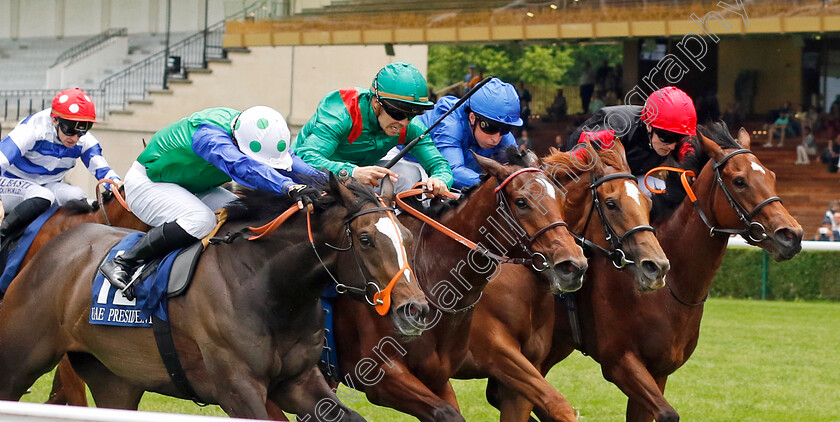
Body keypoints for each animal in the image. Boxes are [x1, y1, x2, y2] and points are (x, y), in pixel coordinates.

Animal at [0, 176, 430, 420]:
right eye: (366, 239)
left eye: (408, 237)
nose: (416, 309)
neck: (268, 287)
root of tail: (57, 245)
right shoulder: (239, 390)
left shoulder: (299, 381)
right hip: (20, 361)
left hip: (115, 379)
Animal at [330, 149, 592, 422]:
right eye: (521, 202)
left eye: (561, 198)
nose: (573, 265)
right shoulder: (381, 374)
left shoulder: (448, 375)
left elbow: (554, 405)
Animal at [516, 122, 804, 422]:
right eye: (739, 181)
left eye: (771, 176)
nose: (792, 235)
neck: (672, 290)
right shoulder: (619, 361)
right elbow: (667, 413)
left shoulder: (659, 370)